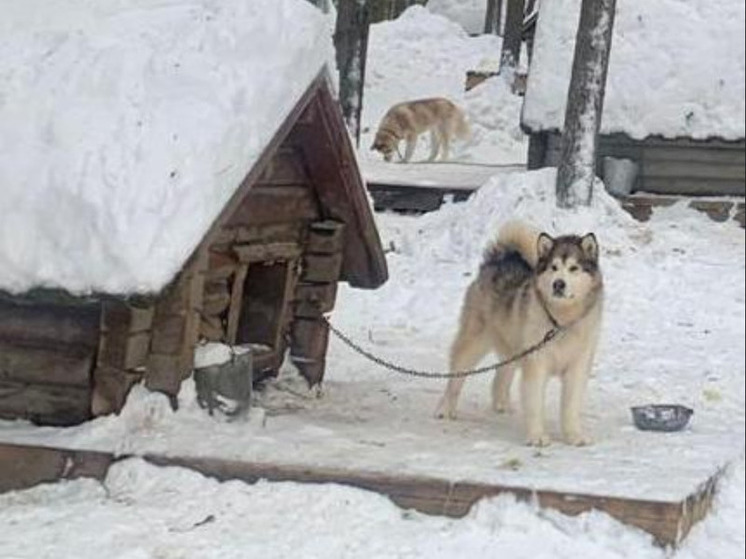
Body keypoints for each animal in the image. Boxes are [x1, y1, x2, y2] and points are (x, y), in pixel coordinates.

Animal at [434, 222, 600, 446]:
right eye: (553, 267)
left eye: (574, 268)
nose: (558, 284)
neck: (561, 323)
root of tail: (499, 259)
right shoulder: (537, 364)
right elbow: (535, 403)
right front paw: (537, 436)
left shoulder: (578, 366)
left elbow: (570, 407)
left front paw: (574, 435)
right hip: (474, 343)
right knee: (455, 379)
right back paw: (445, 408)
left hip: (514, 346)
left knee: (501, 373)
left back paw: (501, 404)